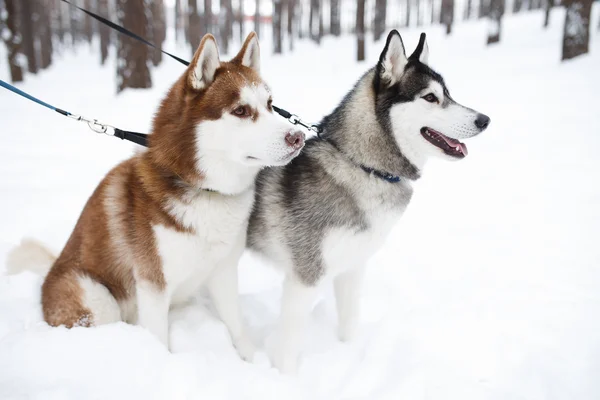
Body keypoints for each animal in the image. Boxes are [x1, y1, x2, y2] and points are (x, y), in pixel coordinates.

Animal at [246, 30, 490, 372]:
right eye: (430, 98)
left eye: (448, 94)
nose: (485, 120)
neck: (363, 166)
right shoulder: (304, 279)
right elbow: (289, 347)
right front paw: (285, 377)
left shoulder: (353, 266)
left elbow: (350, 320)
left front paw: (349, 352)